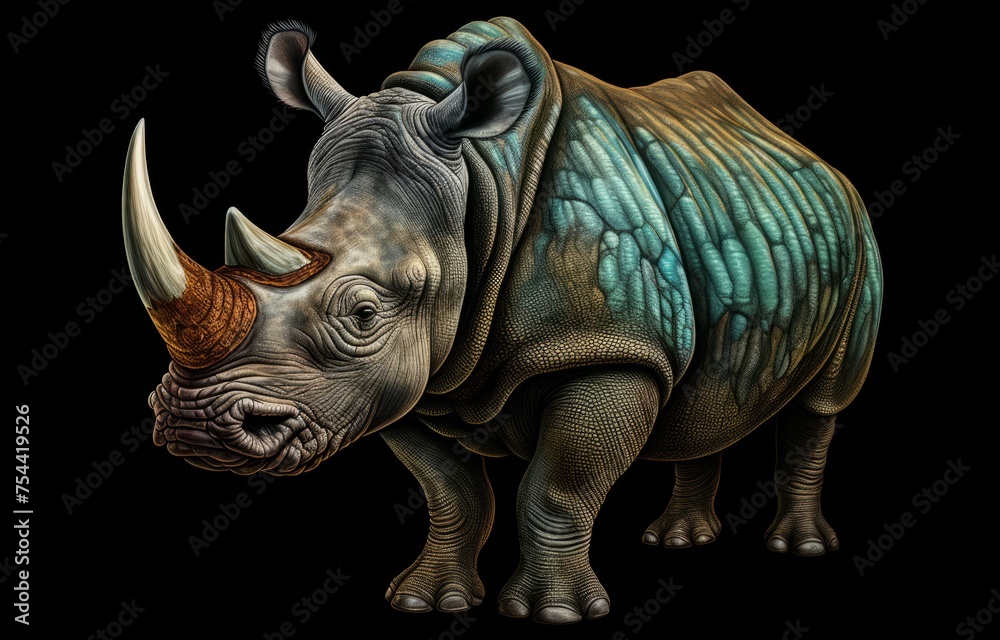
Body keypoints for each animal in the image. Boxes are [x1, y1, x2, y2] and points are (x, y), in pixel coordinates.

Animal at [122, 17, 882, 624]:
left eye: (363, 313)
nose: (194, 424)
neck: (481, 184)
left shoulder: (609, 346)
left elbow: (558, 488)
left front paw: (554, 614)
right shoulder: (406, 379)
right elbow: (452, 492)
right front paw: (426, 602)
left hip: (857, 230)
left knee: (823, 402)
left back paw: (799, 547)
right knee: (707, 389)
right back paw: (680, 541)